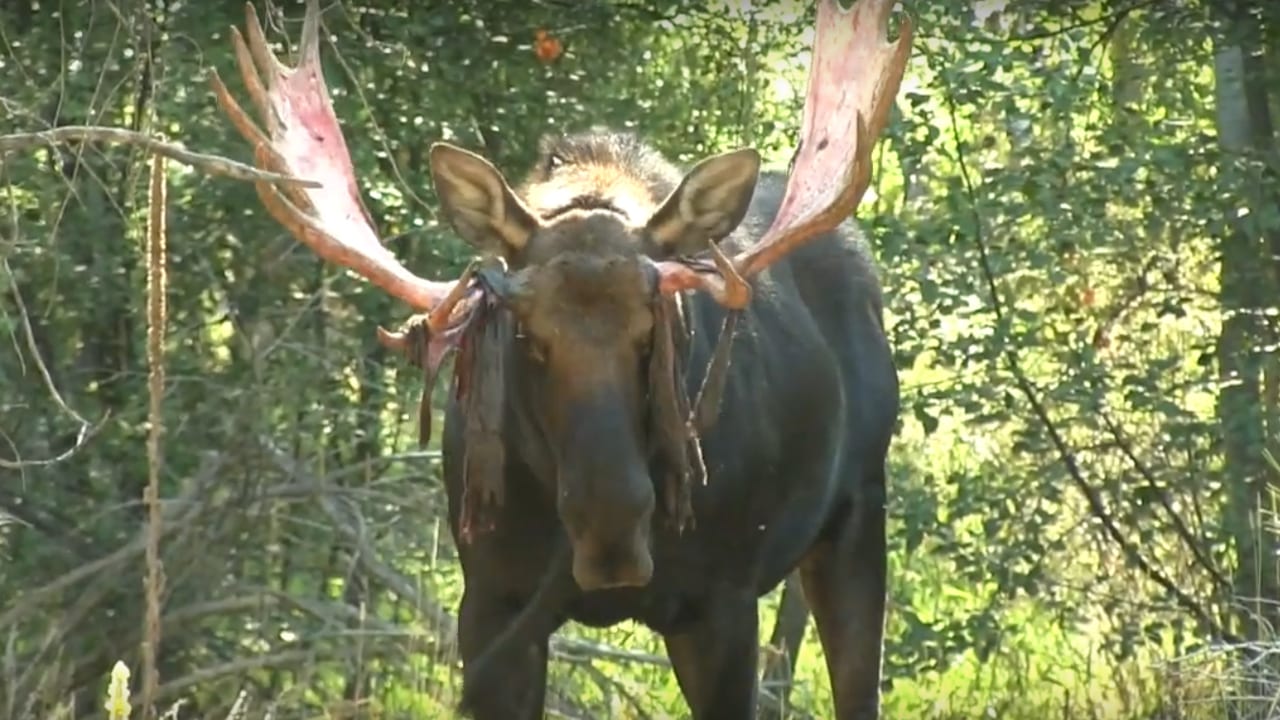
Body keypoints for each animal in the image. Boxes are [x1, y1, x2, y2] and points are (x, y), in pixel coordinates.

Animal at [209, 0, 911, 712]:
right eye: (527, 334)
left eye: (654, 327)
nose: (613, 529)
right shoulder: (491, 603)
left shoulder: (722, 601)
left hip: (858, 509)